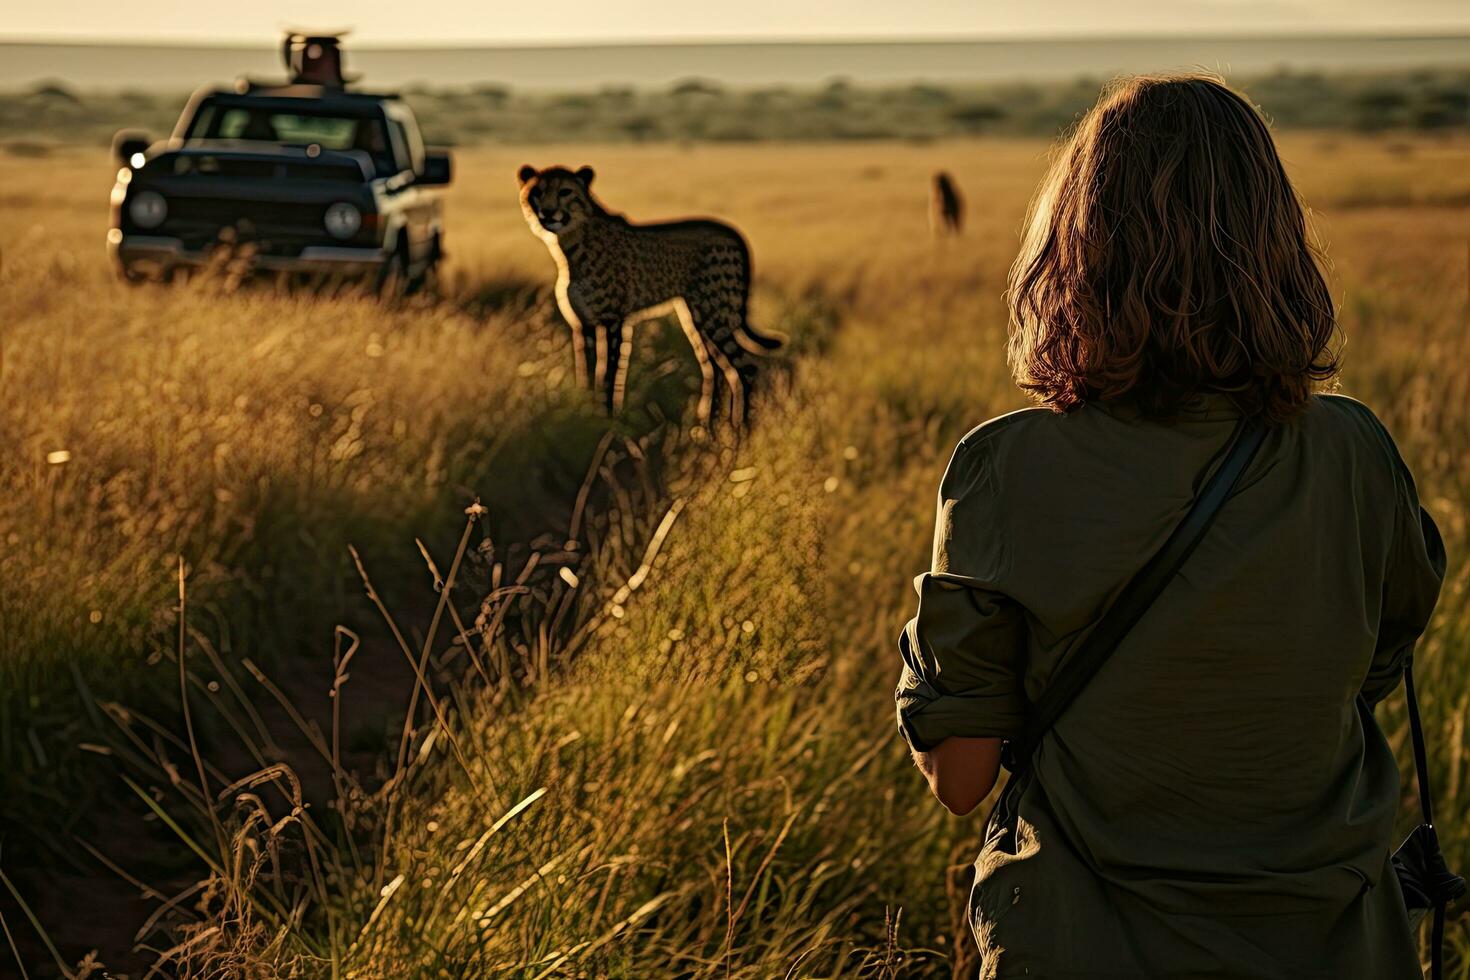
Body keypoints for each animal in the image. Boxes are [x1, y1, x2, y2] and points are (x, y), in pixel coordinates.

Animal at [517, 164, 782, 426]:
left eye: (565, 191)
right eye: (537, 192)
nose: (548, 213)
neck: (572, 243)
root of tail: (732, 232)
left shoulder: (614, 321)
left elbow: (609, 373)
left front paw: (608, 420)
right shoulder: (584, 325)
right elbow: (588, 372)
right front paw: (588, 414)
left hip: (715, 315)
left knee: (746, 367)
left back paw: (742, 431)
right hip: (698, 317)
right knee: (715, 368)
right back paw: (708, 428)